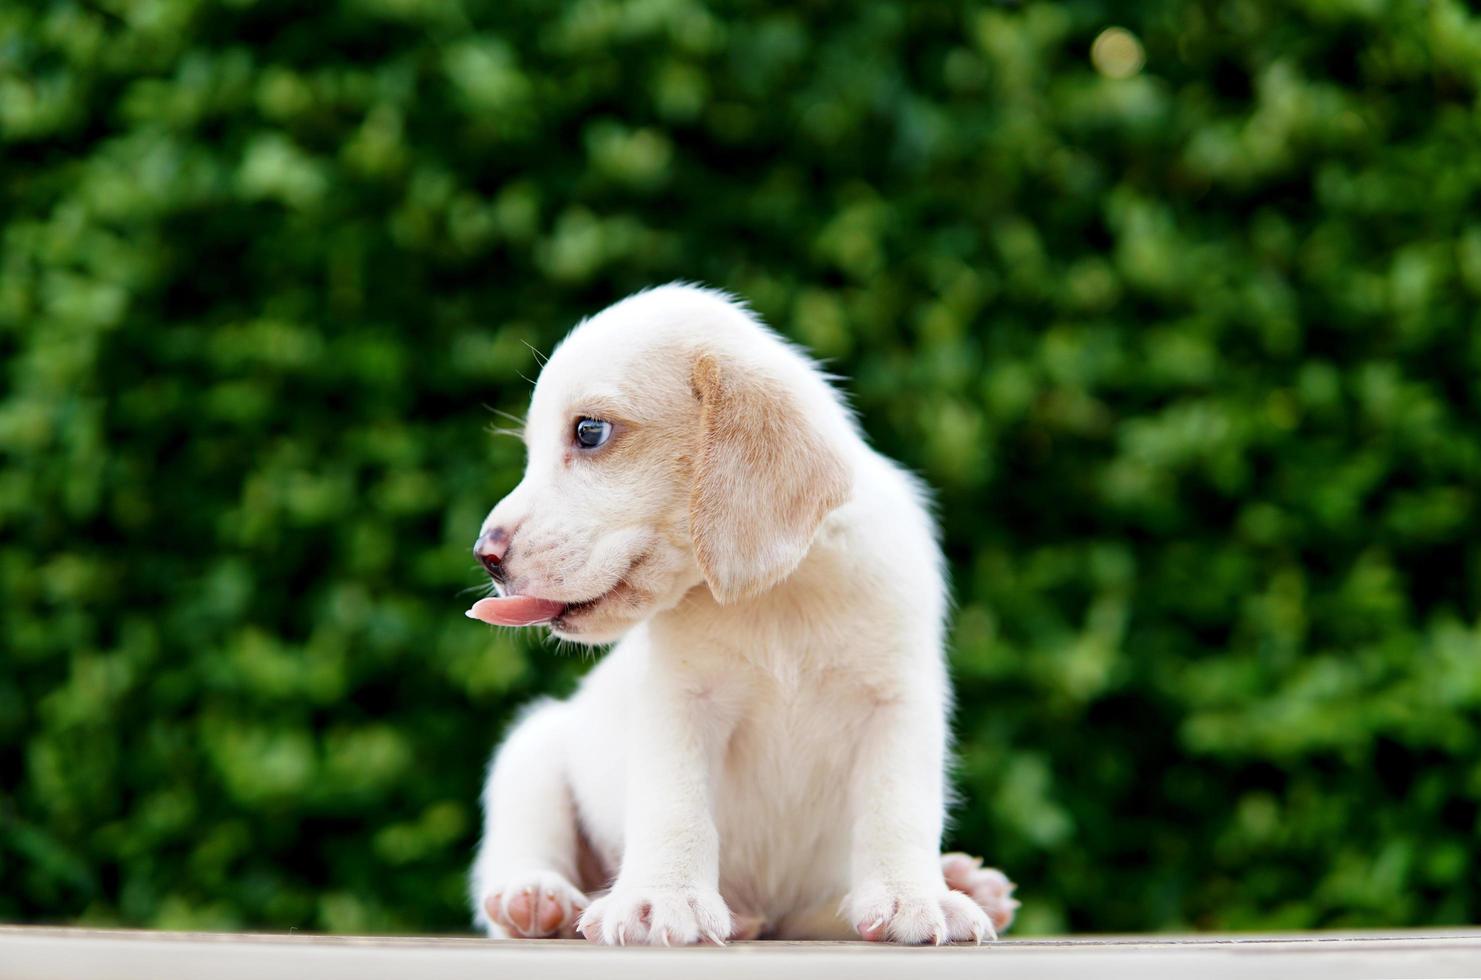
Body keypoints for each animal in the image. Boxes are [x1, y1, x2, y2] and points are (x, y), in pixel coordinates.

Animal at [465, 284, 1018, 947]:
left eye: (589, 432)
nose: (485, 554)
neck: (777, 594)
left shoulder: (898, 703)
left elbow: (897, 809)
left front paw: (914, 896)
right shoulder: (679, 704)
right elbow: (675, 806)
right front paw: (662, 898)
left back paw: (963, 882)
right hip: (533, 748)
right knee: (522, 850)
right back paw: (535, 898)